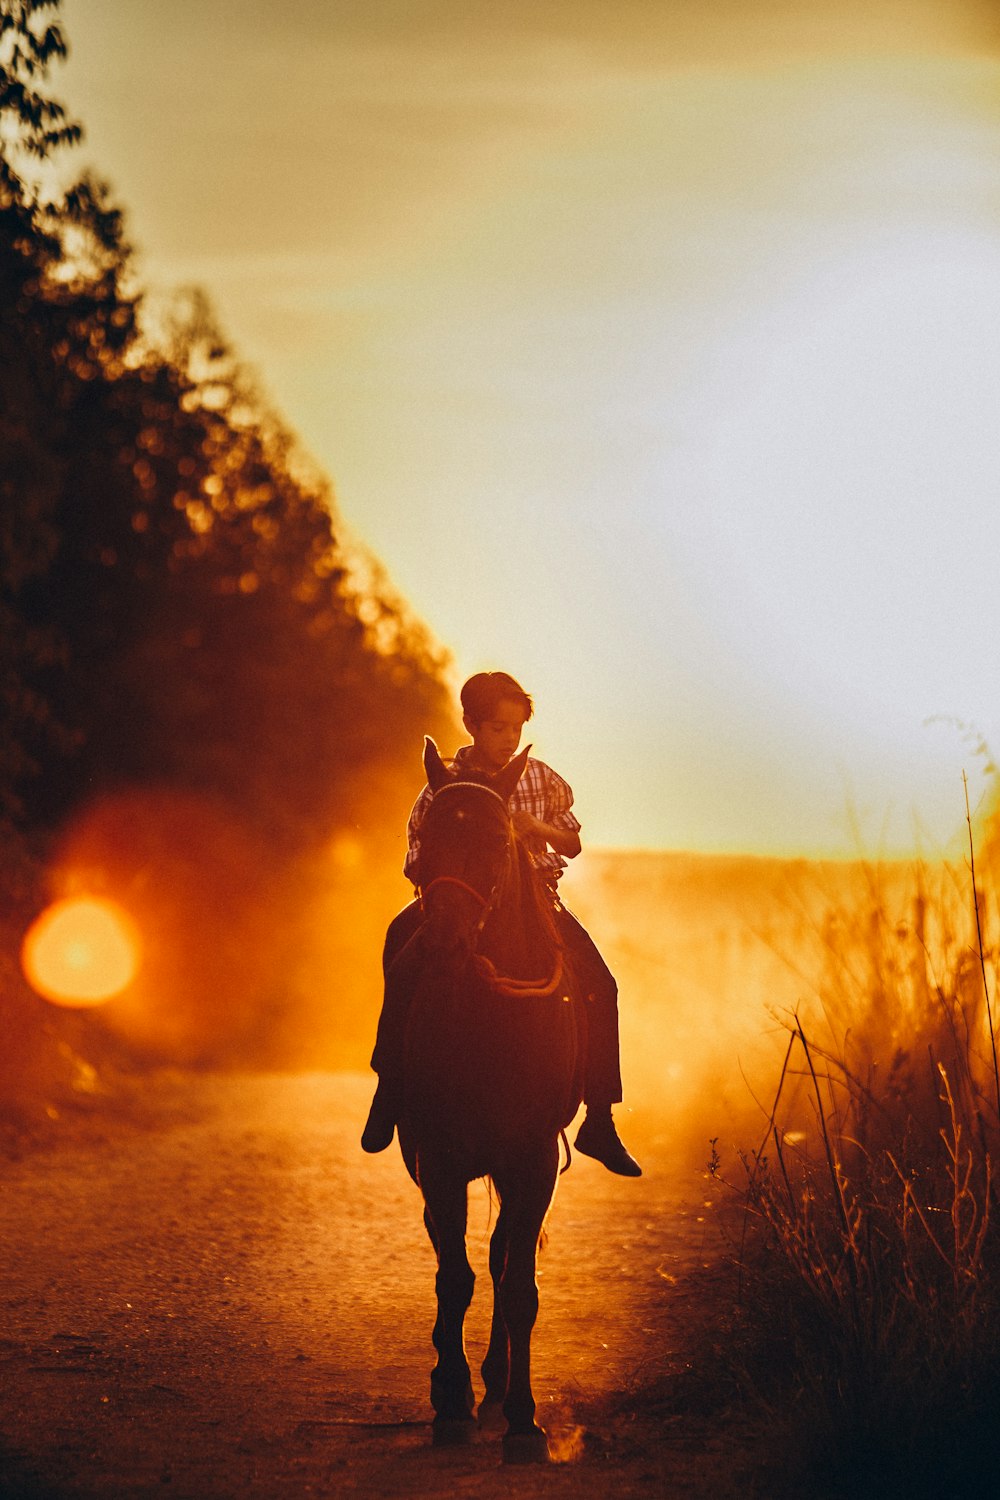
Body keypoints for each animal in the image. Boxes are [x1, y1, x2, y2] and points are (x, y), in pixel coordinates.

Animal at [395, 738, 587, 1464]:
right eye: (427, 840)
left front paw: (524, 1422)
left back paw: (500, 1382)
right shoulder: (441, 1158)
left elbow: (519, 1285)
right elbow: (454, 1277)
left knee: (504, 1259)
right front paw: (449, 1404)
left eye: (496, 841)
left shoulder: (531, 1161)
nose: (444, 943)